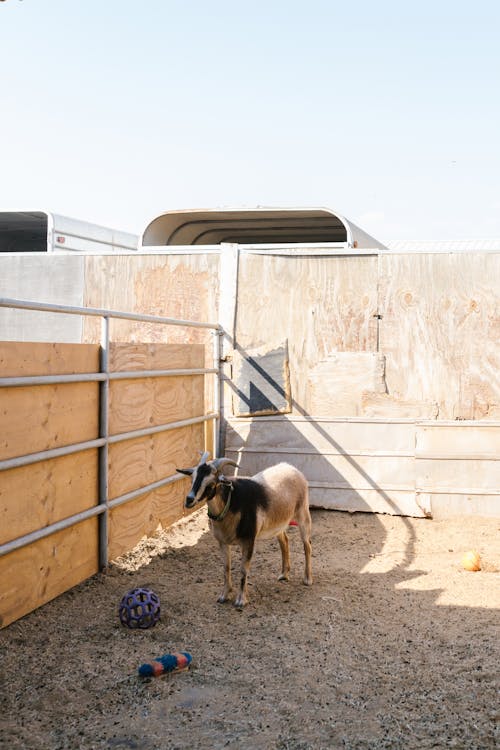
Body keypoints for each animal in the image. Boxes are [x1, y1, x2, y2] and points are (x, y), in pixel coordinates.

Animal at [175, 456, 308, 608]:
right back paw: (284, 574)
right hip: (278, 523)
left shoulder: (249, 540)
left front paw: (241, 600)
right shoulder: (223, 542)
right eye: (192, 479)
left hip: (303, 512)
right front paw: (224, 595)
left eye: (211, 484)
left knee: (307, 545)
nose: (189, 500)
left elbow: (243, 569)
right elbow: (226, 567)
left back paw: (307, 579)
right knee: (284, 541)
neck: (231, 503)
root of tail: (292, 468)